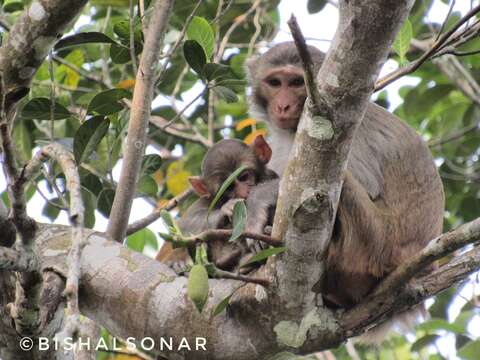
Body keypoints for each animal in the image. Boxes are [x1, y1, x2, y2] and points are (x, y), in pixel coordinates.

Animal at [158, 136, 278, 272]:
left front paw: (256, 203)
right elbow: (186, 223)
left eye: (244, 177)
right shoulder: (207, 200)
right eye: (228, 188)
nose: (243, 193)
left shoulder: (271, 174)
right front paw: (227, 208)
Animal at [246, 42, 444, 310]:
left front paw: (256, 201)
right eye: (275, 82)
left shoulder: (346, 127)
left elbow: (364, 184)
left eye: (297, 82)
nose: (283, 106)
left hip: (376, 242)